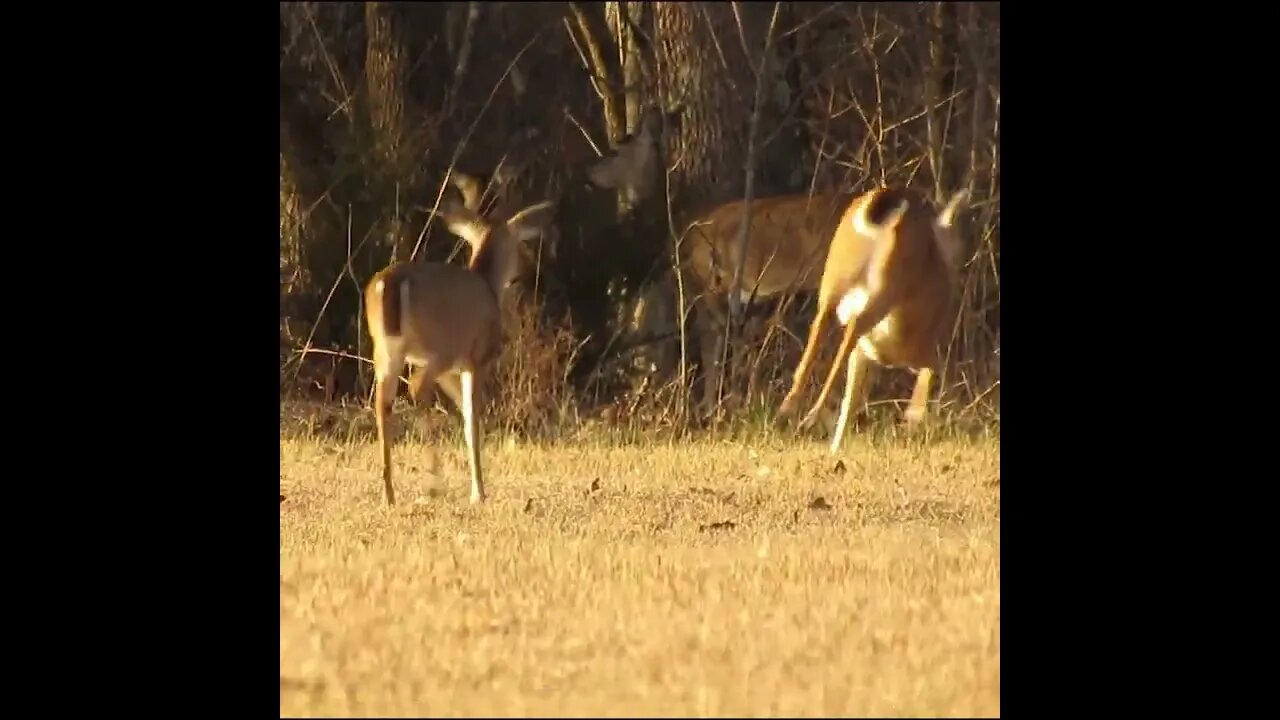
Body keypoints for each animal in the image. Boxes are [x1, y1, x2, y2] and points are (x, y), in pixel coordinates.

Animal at [365, 183, 557, 506]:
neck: (489, 285)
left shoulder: (453, 368)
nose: (523, 272)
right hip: (439, 344)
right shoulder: (475, 358)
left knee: (383, 402)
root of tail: (390, 283)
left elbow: (465, 412)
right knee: (416, 386)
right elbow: (472, 420)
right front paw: (479, 491)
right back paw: (433, 481)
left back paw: (389, 493)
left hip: (386, 349)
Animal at [776, 185, 970, 454]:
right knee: (853, 327)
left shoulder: (865, 355)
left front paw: (834, 449)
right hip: (886, 287)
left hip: (834, 276)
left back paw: (790, 408)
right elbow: (928, 377)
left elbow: (850, 401)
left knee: (820, 329)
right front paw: (912, 419)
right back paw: (809, 416)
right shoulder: (920, 352)